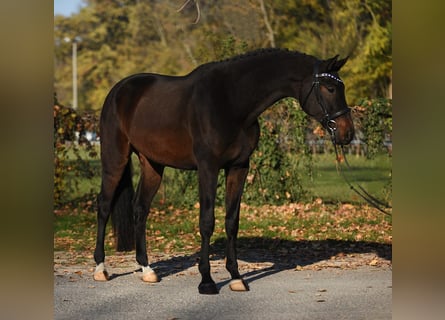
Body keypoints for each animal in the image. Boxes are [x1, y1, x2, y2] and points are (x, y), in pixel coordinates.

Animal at [93, 48, 354, 296]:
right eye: (330, 88)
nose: (347, 133)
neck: (231, 101)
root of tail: (119, 90)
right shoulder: (208, 167)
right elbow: (207, 221)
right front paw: (207, 281)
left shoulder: (239, 167)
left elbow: (232, 221)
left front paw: (236, 278)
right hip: (114, 159)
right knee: (104, 205)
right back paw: (100, 269)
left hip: (153, 164)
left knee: (140, 209)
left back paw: (147, 270)